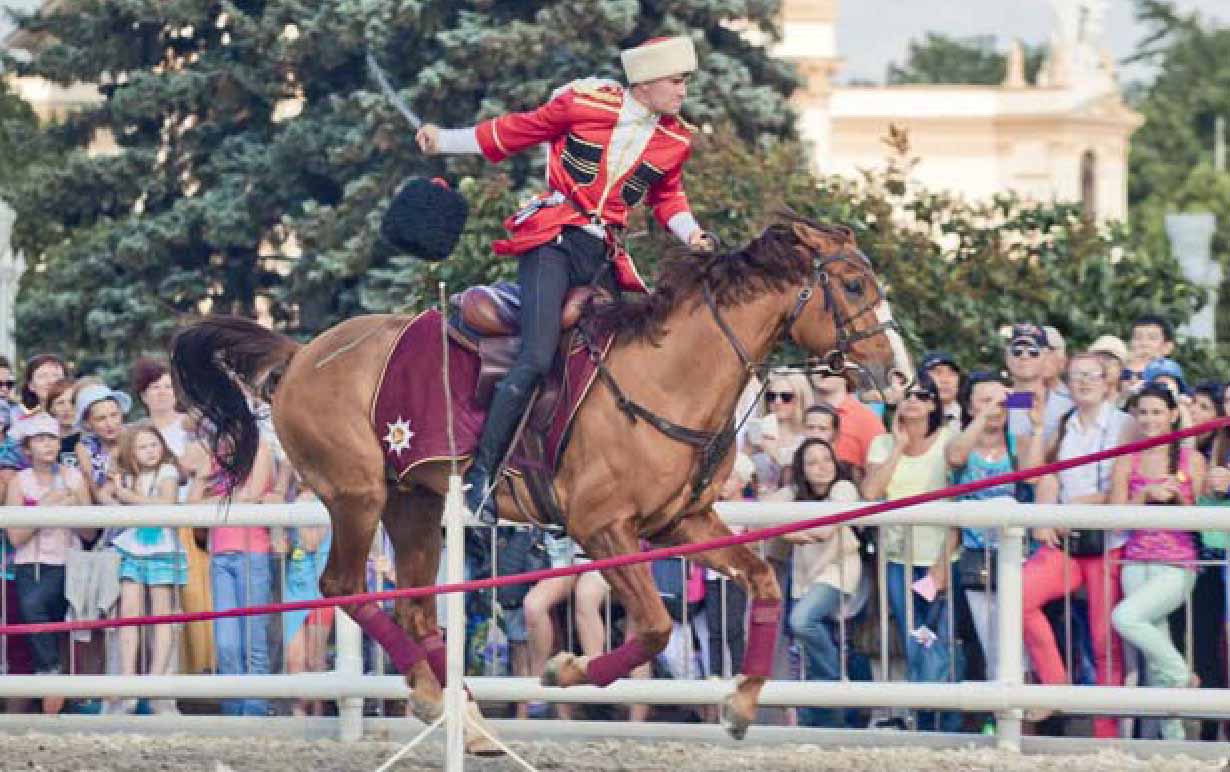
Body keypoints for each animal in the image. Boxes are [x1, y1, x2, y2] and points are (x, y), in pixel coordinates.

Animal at [168, 215, 910, 747]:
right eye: (853, 286)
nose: (898, 374)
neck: (666, 376)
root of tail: (299, 356)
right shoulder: (602, 528)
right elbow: (652, 627)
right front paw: (567, 671)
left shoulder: (682, 522)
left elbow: (762, 584)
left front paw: (741, 699)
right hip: (359, 497)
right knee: (345, 587)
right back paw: (443, 701)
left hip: (414, 502)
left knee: (413, 607)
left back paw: (457, 710)